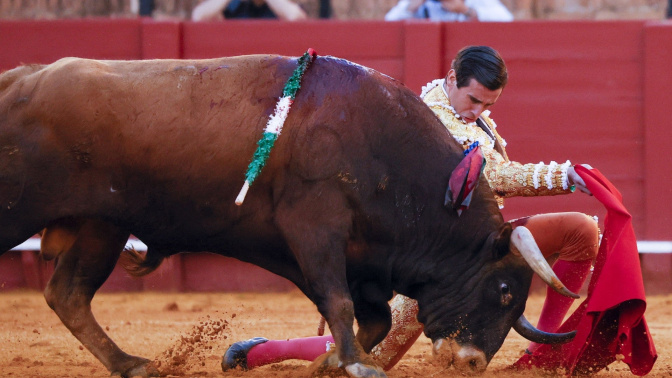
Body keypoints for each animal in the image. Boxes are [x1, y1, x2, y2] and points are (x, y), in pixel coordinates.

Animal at [0, 54, 576, 378]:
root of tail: (18, 81)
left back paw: (132, 365)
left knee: (67, 294)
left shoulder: (361, 259)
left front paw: (331, 363)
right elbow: (342, 304)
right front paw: (356, 365)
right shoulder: (315, 230)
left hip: (103, 225)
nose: (473, 362)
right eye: (503, 289)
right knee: (66, 292)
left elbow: (373, 317)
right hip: (25, 211)